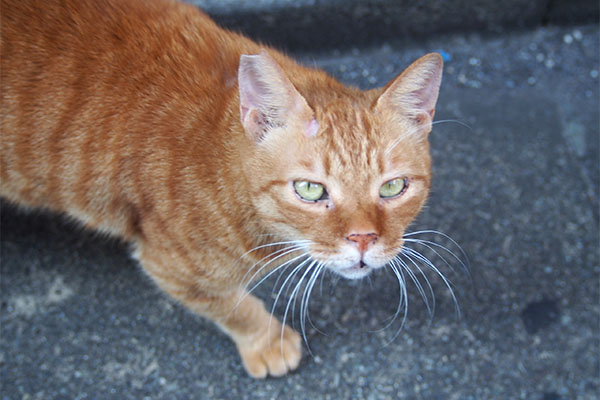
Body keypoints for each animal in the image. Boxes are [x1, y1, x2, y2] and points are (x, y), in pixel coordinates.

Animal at [0, 0, 440, 378]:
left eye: (393, 187)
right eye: (311, 190)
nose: (363, 238)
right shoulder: (172, 268)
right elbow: (234, 309)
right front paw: (267, 342)